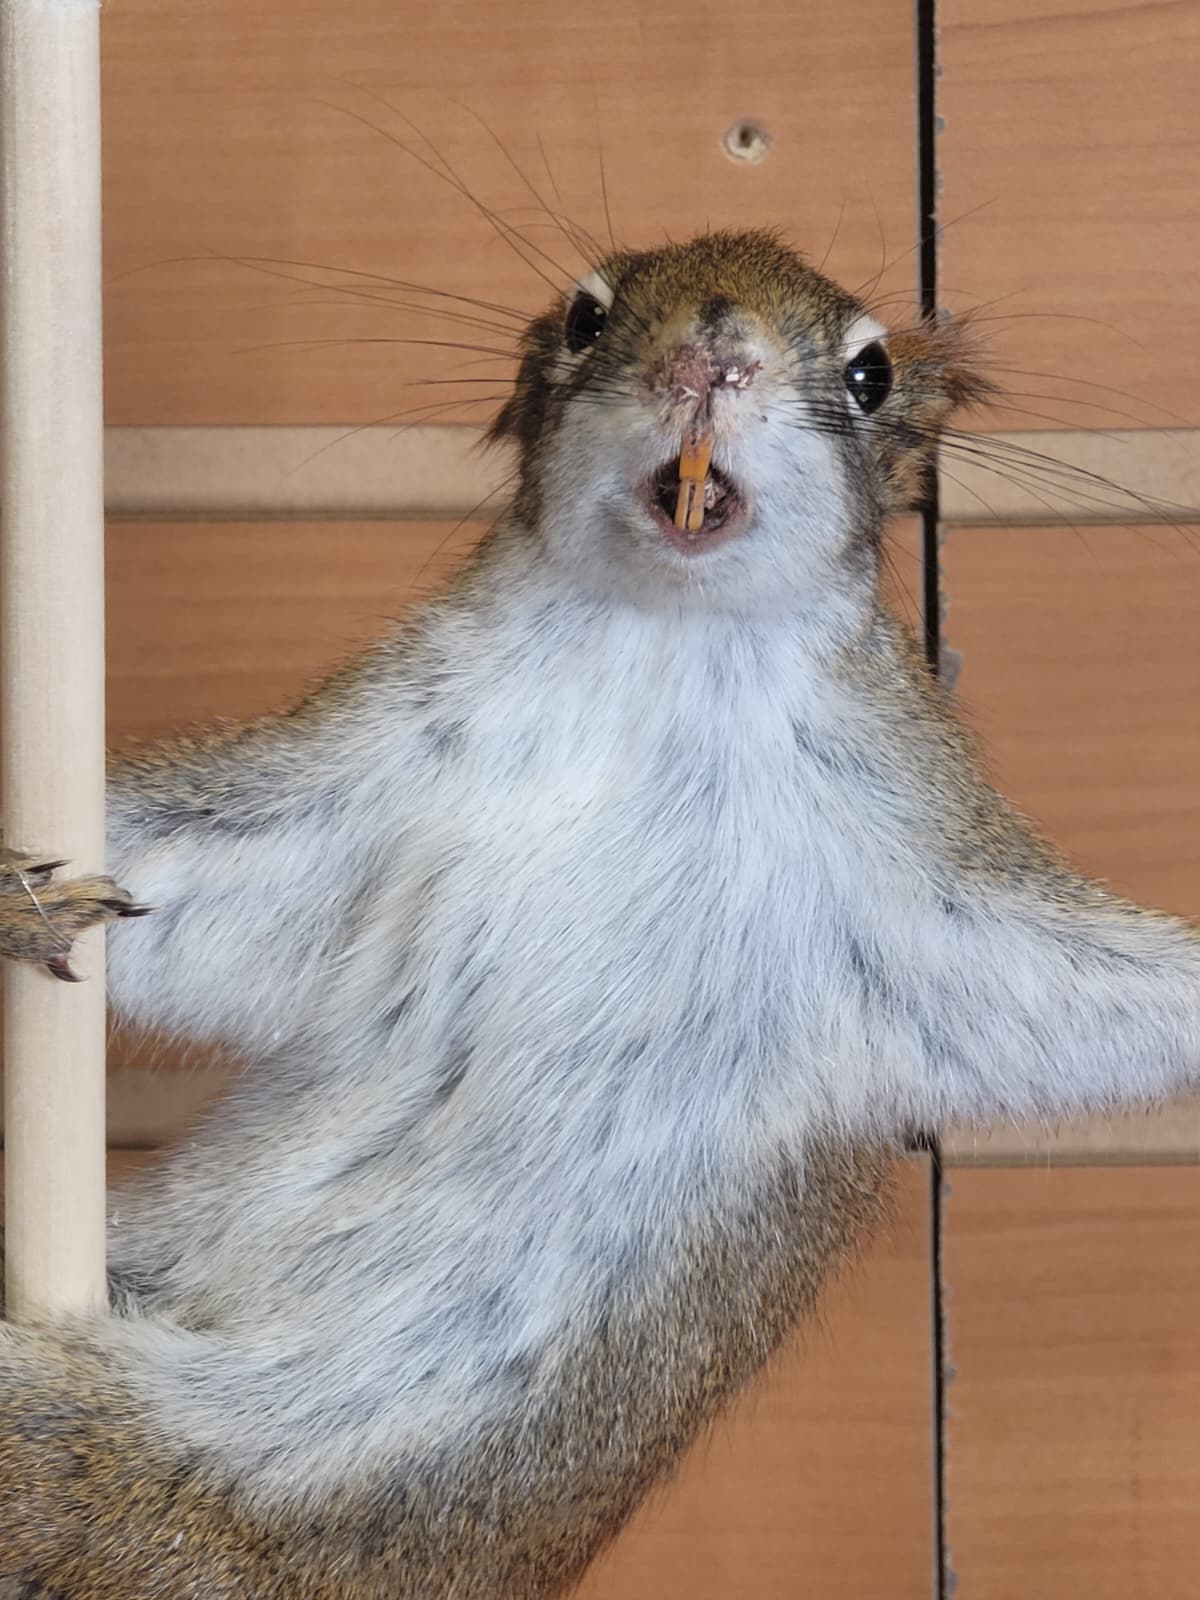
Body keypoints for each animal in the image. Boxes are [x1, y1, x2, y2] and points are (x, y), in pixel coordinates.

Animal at [2, 227, 1199, 1598]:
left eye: (871, 373)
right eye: (585, 317)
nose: (710, 354)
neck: (665, 649)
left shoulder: (925, 878)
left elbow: (1092, 987)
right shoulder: (367, 787)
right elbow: (205, 889)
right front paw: (22, 902)